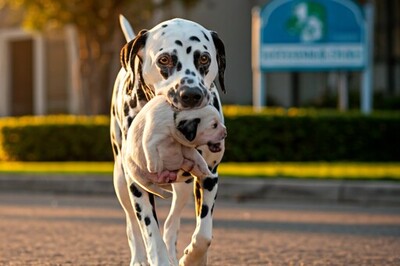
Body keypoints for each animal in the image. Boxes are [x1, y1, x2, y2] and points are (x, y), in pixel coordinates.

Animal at [109, 15, 227, 266]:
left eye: (204, 58)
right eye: (164, 59)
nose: (191, 94)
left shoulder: (209, 176)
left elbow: (204, 235)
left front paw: (193, 258)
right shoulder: (137, 184)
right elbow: (150, 234)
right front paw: (158, 257)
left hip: (183, 188)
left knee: (172, 222)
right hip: (121, 182)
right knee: (132, 225)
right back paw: (138, 258)